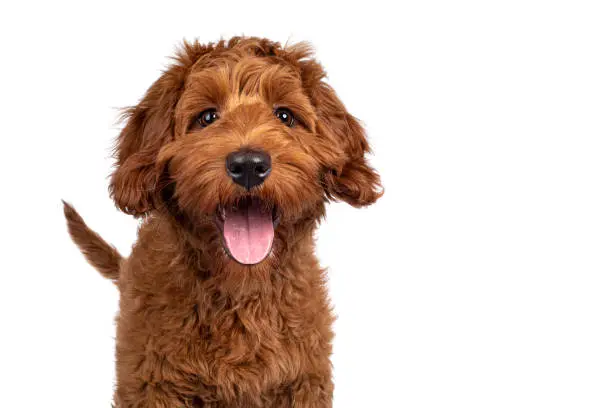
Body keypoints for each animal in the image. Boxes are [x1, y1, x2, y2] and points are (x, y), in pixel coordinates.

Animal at [64, 35, 380, 408]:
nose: (248, 164)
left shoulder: (305, 380)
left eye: (285, 115)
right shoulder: (152, 383)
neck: (241, 292)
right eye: (207, 117)